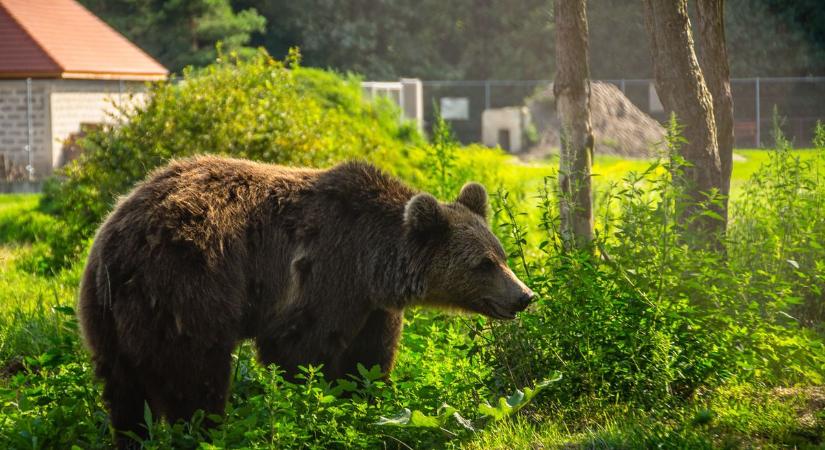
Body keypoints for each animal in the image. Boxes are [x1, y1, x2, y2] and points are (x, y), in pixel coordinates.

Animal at [79, 155, 536, 446]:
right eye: (483, 264)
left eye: (503, 255)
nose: (524, 296)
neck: (374, 264)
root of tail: (112, 243)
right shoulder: (325, 274)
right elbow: (302, 352)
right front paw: (312, 408)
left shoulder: (371, 306)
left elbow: (368, 360)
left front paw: (367, 404)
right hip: (185, 291)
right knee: (193, 376)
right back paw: (207, 431)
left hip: (108, 320)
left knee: (122, 390)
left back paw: (132, 436)